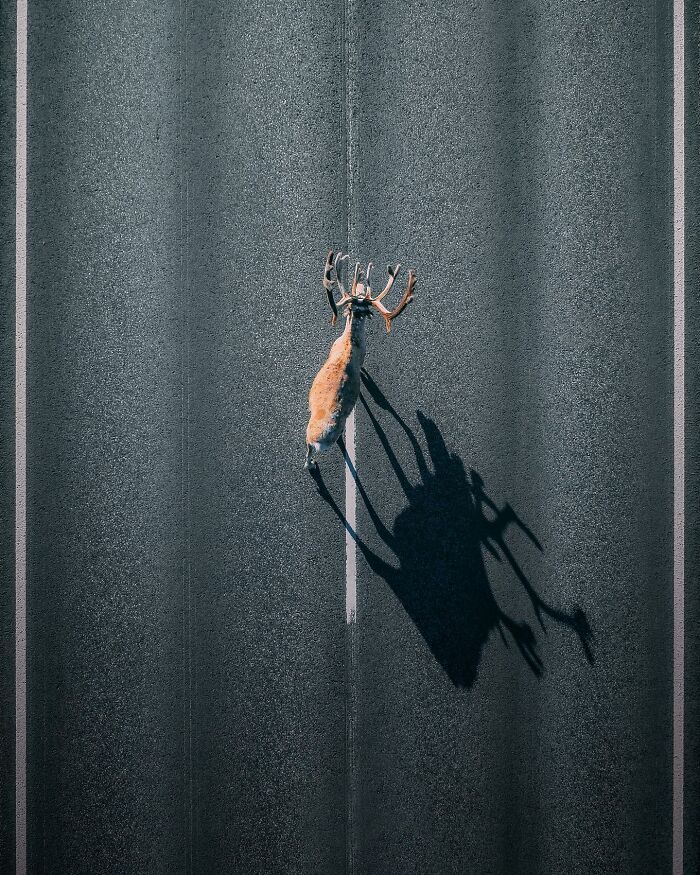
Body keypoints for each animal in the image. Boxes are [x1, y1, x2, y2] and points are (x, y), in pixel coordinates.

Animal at [305, 250, 416, 469]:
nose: (360, 286)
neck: (350, 339)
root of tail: (316, 440)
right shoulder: (363, 354)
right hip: (330, 435)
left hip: (307, 434)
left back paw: (310, 464)